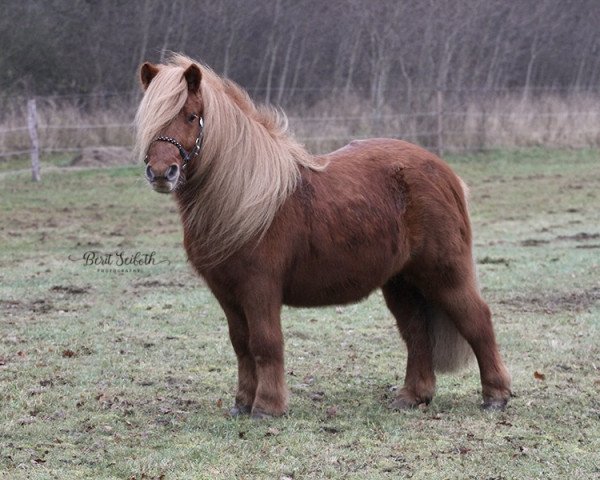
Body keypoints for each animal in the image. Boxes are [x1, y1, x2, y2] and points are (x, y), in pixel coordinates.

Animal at [135, 54, 510, 418]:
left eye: (191, 116)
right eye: (148, 121)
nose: (161, 173)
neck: (244, 197)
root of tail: (445, 172)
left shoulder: (259, 287)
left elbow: (265, 343)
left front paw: (267, 407)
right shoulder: (226, 292)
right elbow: (241, 344)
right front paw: (242, 403)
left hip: (444, 273)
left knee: (477, 320)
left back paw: (496, 395)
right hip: (401, 282)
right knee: (417, 333)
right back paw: (412, 396)